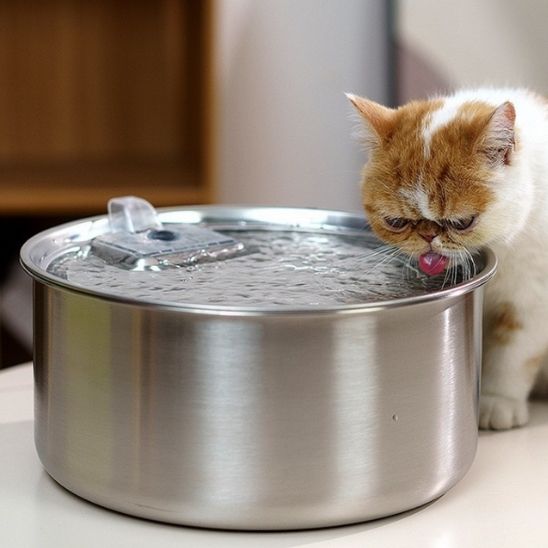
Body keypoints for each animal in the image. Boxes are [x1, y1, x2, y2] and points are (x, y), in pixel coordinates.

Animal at [348, 89, 548, 432]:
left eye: (461, 222)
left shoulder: (532, 296)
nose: (428, 235)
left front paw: (498, 401)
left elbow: (513, 350)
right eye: (396, 222)